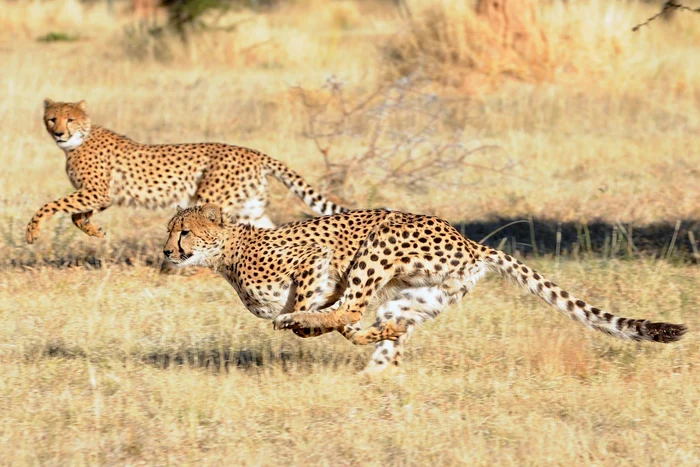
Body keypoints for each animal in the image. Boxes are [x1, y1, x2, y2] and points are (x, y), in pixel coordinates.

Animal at [26, 98, 348, 245]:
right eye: (52, 118)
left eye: (70, 119)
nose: (59, 133)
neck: (80, 139)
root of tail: (253, 152)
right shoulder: (101, 195)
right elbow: (76, 215)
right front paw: (94, 231)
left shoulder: (96, 192)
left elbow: (52, 206)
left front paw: (32, 231)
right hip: (250, 208)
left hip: (210, 199)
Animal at [163, 205, 684, 372]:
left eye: (183, 232)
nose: (167, 252)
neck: (226, 253)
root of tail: (471, 242)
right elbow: (342, 320)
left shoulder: (315, 258)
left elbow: (321, 304)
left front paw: (302, 319)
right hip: (422, 293)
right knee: (380, 322)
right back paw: (380, 353)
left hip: (381, 241)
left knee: (351, 311)